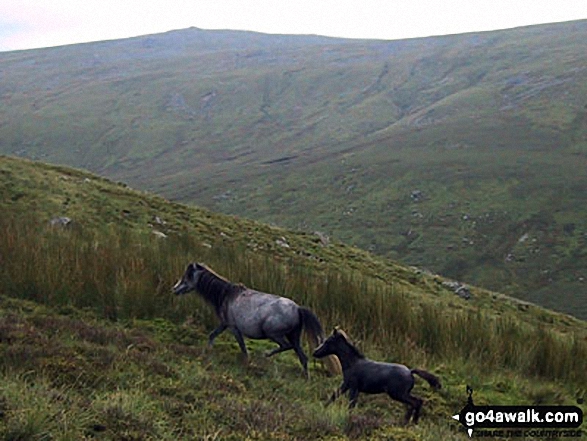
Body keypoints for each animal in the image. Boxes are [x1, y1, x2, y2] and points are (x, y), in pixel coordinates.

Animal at [312, 326, 440, 422]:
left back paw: (412, 421)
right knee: (415, 403)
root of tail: (410, 371)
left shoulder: (353, 387)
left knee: (416, 402)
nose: (315, 352)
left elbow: (351, 404)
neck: (352, 363)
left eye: (328, 341)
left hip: (398, 394)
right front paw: (323, 408)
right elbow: (334, 396)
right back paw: (408, 421)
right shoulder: (346, 385)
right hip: (401, 394)